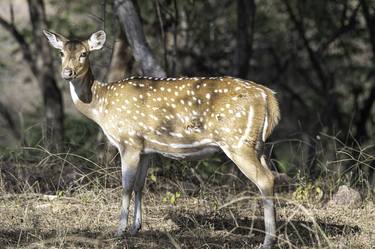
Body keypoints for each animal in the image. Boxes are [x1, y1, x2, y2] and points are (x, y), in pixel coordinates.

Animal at [43, 30, 280, 248]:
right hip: (258, 145)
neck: (100, 106)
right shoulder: (146, 149)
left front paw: (119, 230)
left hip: (237, 142)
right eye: (61, 52)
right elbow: (140, 186)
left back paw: (268, 240)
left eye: (84, 53)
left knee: (265, 179)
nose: (67, 72)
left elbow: (126, 186)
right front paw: (136, 228)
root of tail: (268, 96)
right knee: (272, 176)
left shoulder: (128, 142)